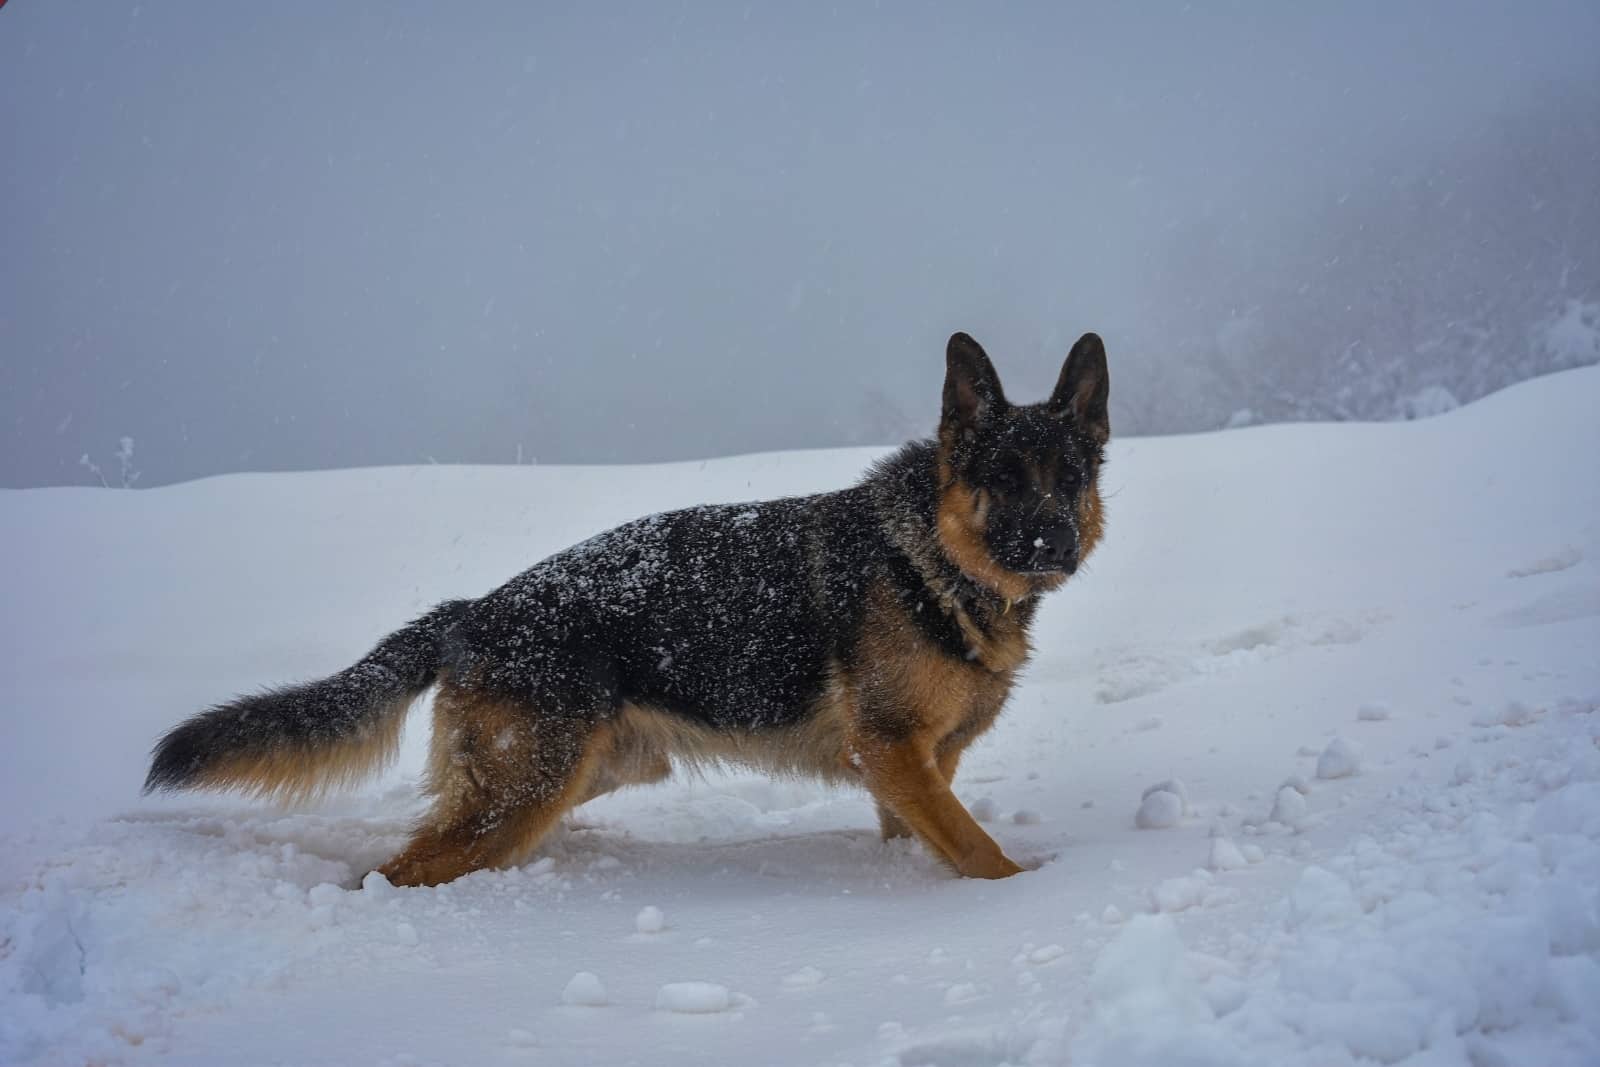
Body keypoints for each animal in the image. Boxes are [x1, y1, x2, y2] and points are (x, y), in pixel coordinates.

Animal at [144, 334, 1107, 883]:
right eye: (1003, 479)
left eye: (1070, 477)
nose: (1052, 542)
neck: (931, 558)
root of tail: (470, 612)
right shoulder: (891, 752)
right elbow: (978, 851)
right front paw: (1023, 899)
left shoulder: (915, 768)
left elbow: (926, 835)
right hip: (526, 788)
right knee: (393, 872)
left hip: (576, 775)